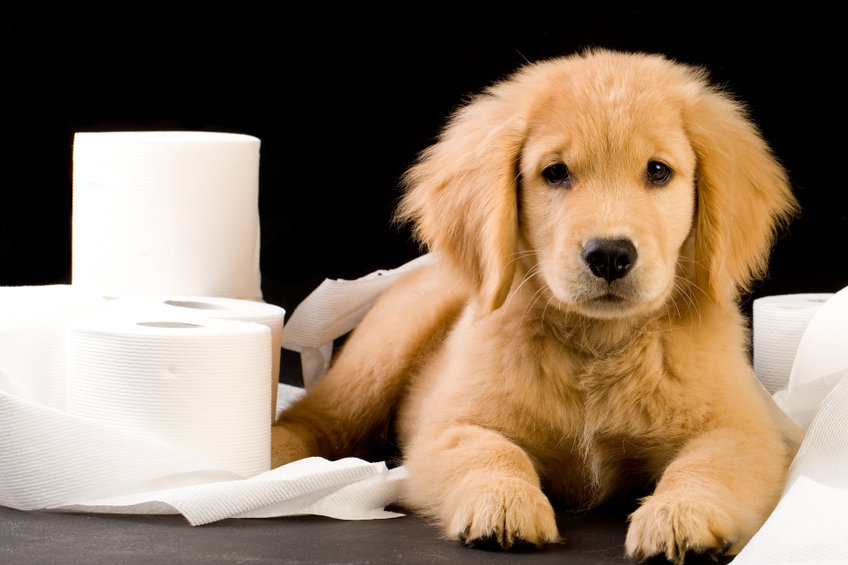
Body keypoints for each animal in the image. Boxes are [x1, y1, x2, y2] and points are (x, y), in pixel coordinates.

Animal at [274, 50, 800, 560]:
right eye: (556, 173)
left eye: (658, 171)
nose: (610, 255)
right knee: (315, 416)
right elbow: (491, 452)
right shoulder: (448, 426)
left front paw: (681, 514)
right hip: (382, 350)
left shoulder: (744, 431)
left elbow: (707, 465)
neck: (598, 345)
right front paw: (504, 503)